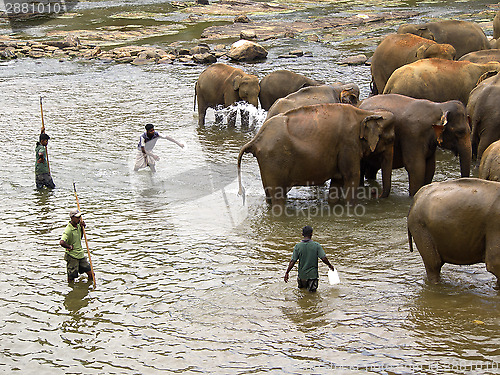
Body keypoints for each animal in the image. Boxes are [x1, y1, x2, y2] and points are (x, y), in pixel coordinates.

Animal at [236, 104, 396, 207]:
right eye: (391, 139)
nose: (375, 193)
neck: (364, 113)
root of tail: (256, 139)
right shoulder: (349, 144)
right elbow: (352, 176)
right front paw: (351, 208)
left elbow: (337, 181)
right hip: (274, 160)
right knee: (277, 196)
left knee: (269, 194)